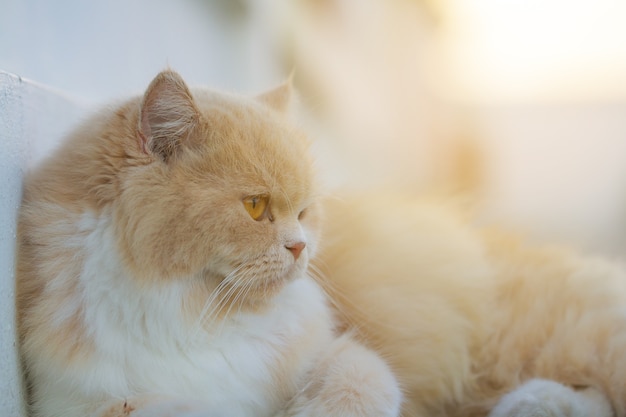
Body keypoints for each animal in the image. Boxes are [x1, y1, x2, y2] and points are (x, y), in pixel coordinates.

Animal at [17, 70, 402, 414]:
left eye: (303, 213)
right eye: (255, 206)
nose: (299, 246)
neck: (199, 316)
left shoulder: (331, 354)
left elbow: (360, 380)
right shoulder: (81, 402)